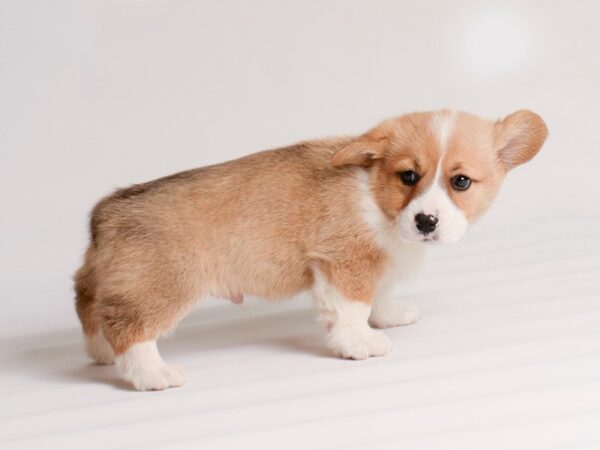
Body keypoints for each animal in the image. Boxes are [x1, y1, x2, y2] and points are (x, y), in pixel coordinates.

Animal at [74, 110, 548, 390]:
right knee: (127, 327)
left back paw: (100, 353)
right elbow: (353, 309)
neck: (375, 196)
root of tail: (108, 212)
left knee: (89, 305)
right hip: (163, 287)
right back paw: (152, 373)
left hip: (109, 279)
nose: (426, 222)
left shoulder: (374, 266)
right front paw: (360, 343)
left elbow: (381, 294)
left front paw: (389, 316)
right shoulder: (344, 264)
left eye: (461, 181)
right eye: (409, 176)